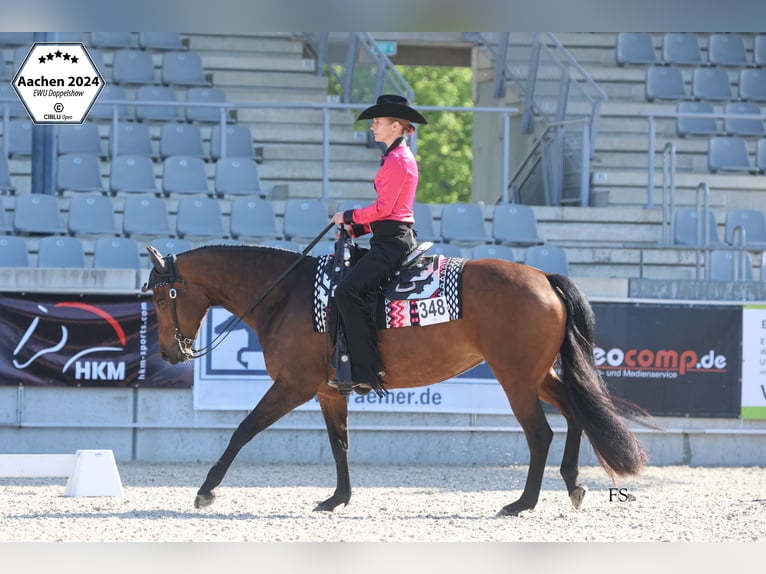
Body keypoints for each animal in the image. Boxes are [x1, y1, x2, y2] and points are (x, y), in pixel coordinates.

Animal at [143, 242, 648, 516]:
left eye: (163, 296)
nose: (169, 353)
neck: (287, 295)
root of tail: (542, 276)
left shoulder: (293, 385)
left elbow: (243, 429)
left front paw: (206, 490)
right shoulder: (328, 391)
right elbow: (340, 444)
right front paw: (337, 498)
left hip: (517, 379)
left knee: (540, 433)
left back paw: (521, 503)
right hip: (537, 374)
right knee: (576, 412)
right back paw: (573, 483)